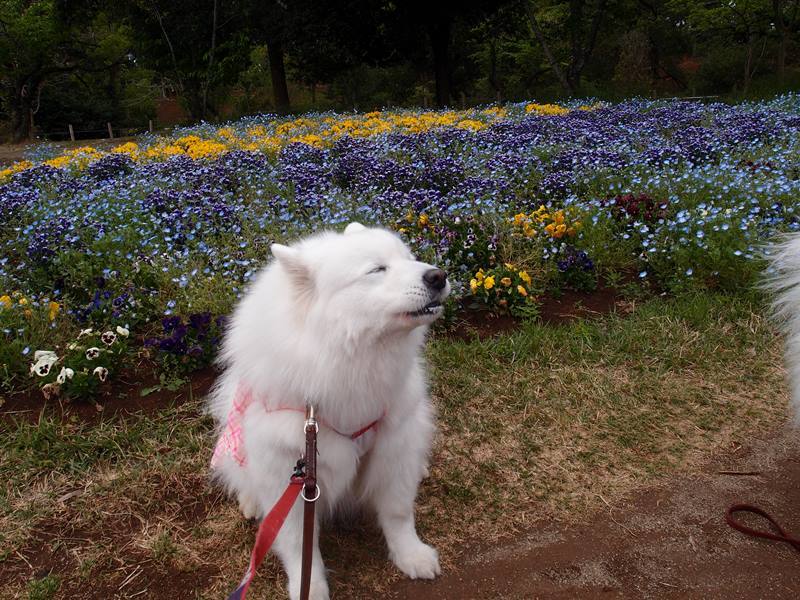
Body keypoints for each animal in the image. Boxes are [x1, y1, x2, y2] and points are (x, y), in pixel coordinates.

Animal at [208, 223, 450, 596]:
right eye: (377, 270)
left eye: (410, 258)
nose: (439, 276)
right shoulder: (288, 475)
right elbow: (298, 544)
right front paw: (309, 587)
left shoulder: (394, 447)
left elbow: (397, 512)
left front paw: (412, 555)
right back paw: (251, 502)